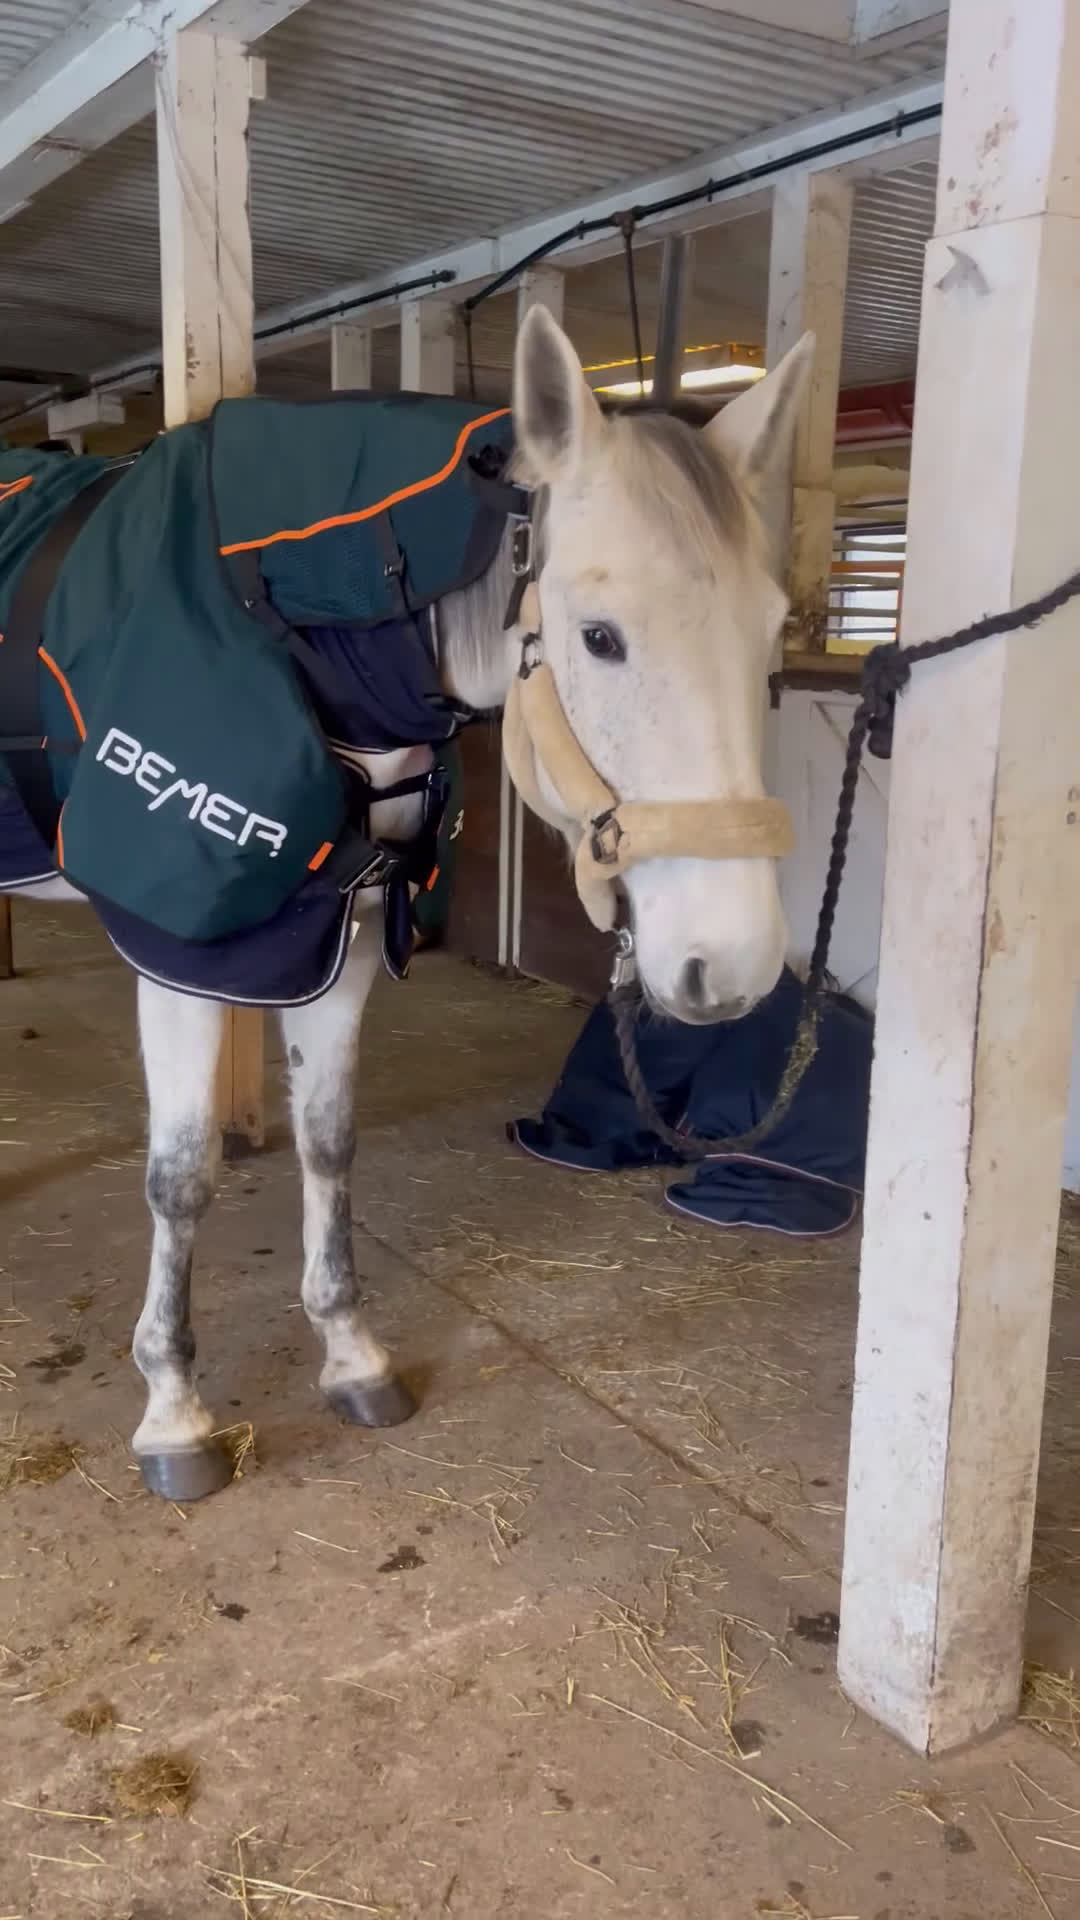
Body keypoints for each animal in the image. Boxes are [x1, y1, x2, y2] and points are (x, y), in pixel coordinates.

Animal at [3, 306, 813, 1500]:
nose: (737, 967)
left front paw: (349, 1354)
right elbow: (181, 1178)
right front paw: (174, 1408)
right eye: (599, 636)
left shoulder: (340, 935)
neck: (293, 616)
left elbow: (329, 1143)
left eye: (771, 634)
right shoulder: (185, 950)